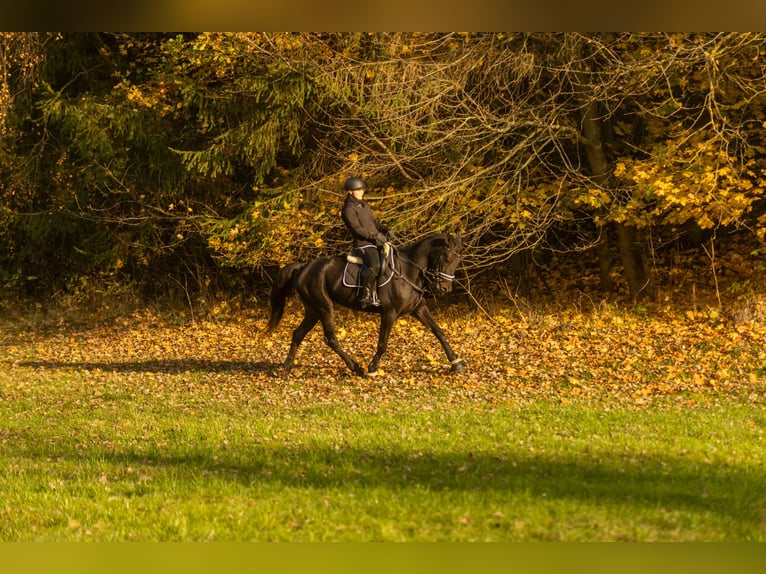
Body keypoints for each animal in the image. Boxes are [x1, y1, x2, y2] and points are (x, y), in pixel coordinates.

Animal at [264, 234, 468, 378]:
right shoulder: (389, 313)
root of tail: (304, 266)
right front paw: (372, 368)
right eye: (447, 258)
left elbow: (439, 332)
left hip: (313, 310)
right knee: (331, 338)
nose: (445, 288)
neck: (408, 271)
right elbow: (383, 343)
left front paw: (456, 363)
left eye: (457, 260)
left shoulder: (418, 309)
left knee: (298, 333)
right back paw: (356, 367)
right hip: (324, 307)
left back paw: (287, 366)